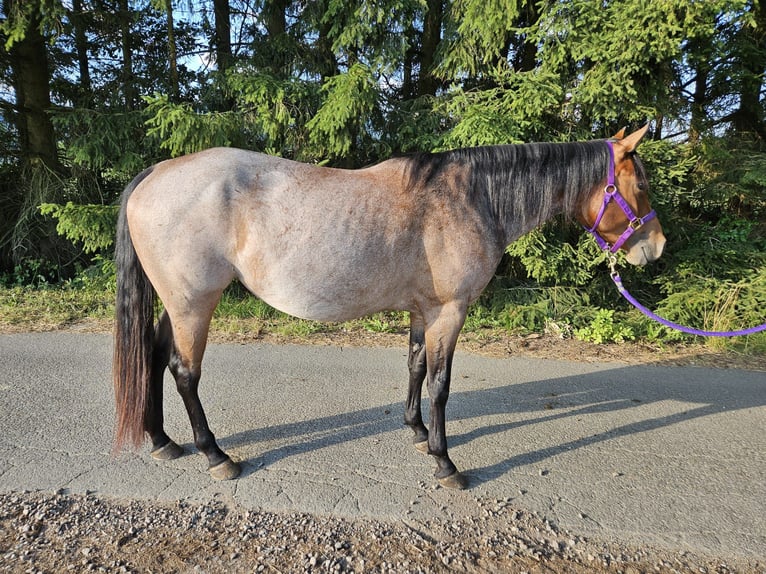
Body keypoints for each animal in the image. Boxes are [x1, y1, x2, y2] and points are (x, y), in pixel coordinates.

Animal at [113, 125, 665, 489]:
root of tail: (156, 173)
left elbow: (417, 366)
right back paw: (215, 455)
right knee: (184, 371)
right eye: (641, 185)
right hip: (194, 304)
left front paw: (416, 430)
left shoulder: (424, 311)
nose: (655, 247)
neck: (469, 199)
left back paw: (162, 440)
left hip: (178, 303)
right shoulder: (450, 311)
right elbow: (441, 384)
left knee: (155, 356)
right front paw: (445, 462)